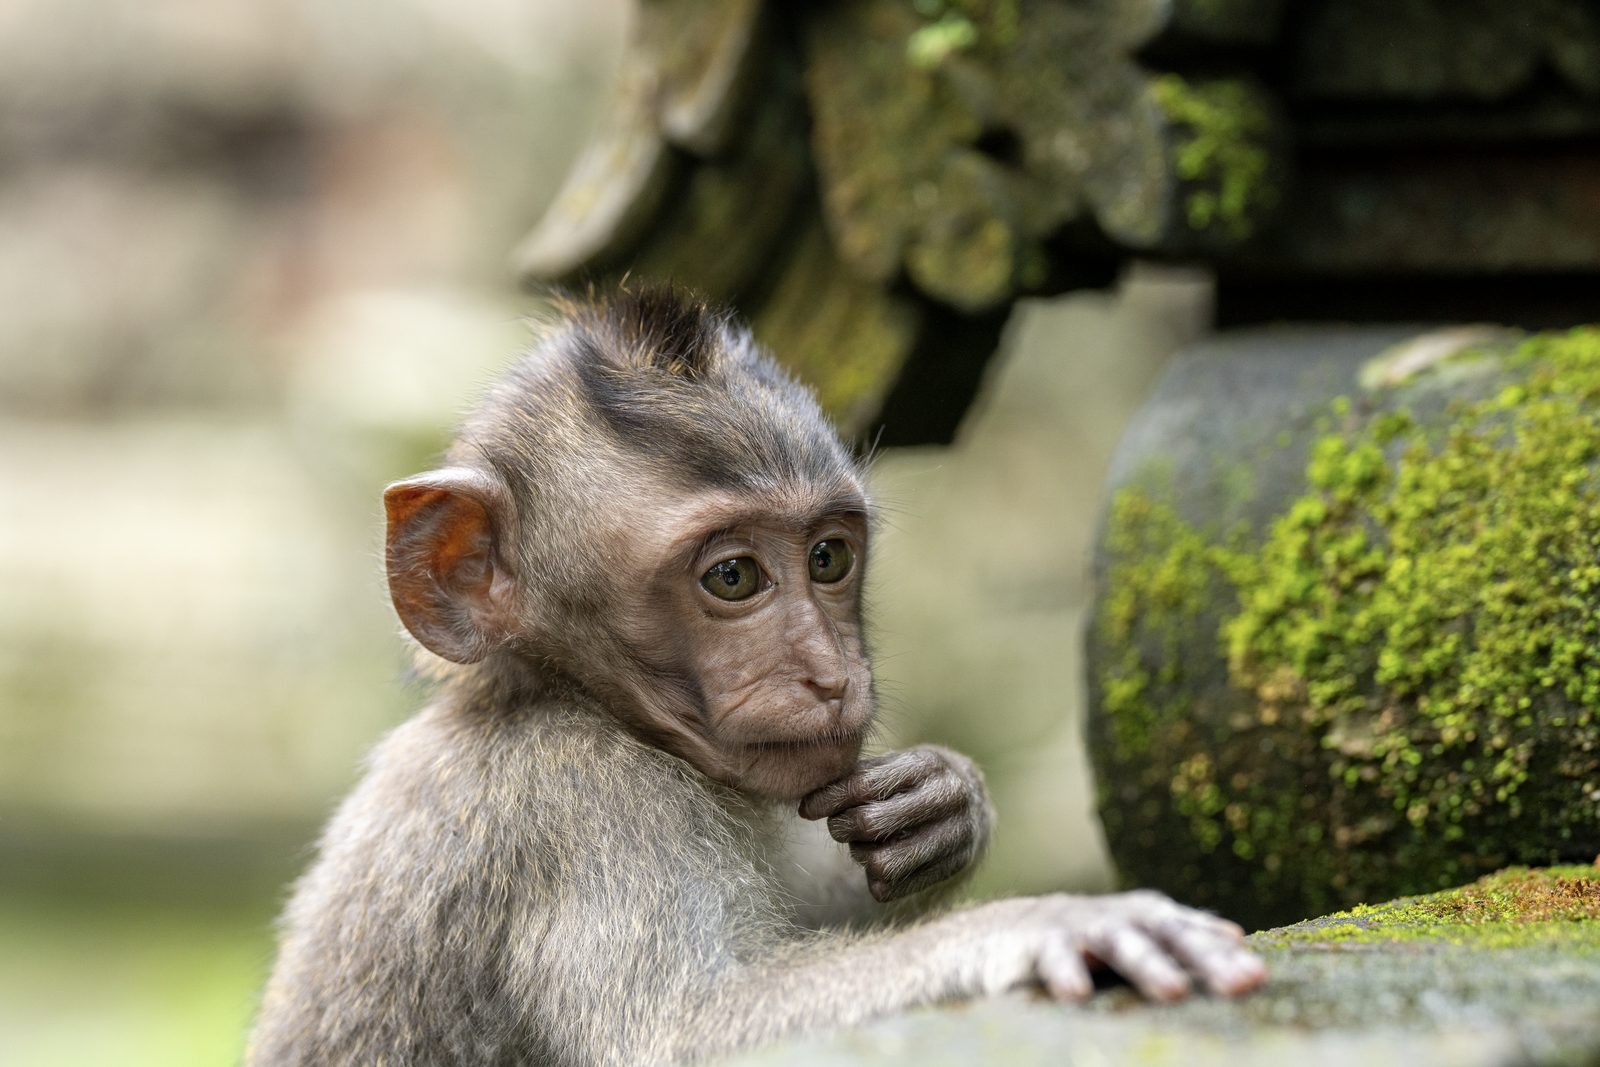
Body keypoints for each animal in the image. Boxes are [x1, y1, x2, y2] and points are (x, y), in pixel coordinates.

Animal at [247, 287, 1265, 1067]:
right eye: (732, 577)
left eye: (827, 557)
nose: (828, 674)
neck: (559, 694)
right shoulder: (582, 803)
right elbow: (685, 1033)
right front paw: (1046, 920)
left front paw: (943, 801)